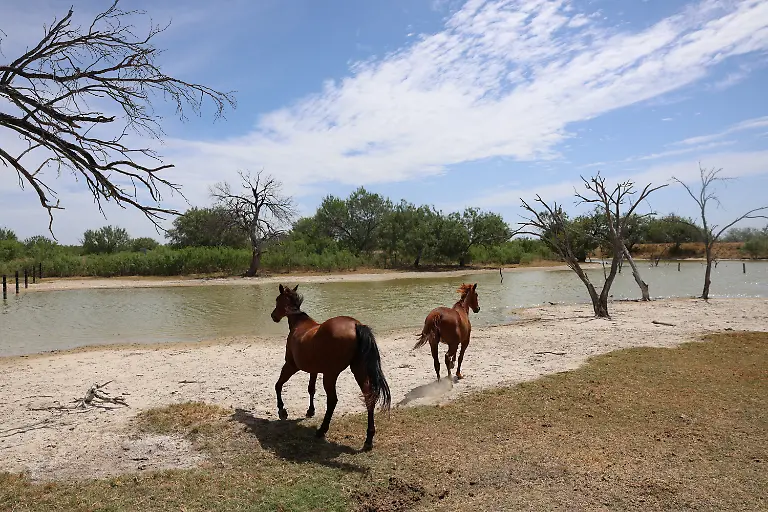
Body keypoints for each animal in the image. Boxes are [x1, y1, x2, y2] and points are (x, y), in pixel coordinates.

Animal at [270, 284, 391, 451]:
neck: (300, 324)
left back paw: (322, 430)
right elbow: (311, 389)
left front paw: (282, 410)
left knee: (332, 400)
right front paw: (310, 410)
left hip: (330, 374)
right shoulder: (313, 370)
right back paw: (368, 439)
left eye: (277, 299)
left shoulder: (291, 365)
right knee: (369, 397)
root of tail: (356, 325)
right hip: (358, 370)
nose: (273, 316)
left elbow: (278, 385)